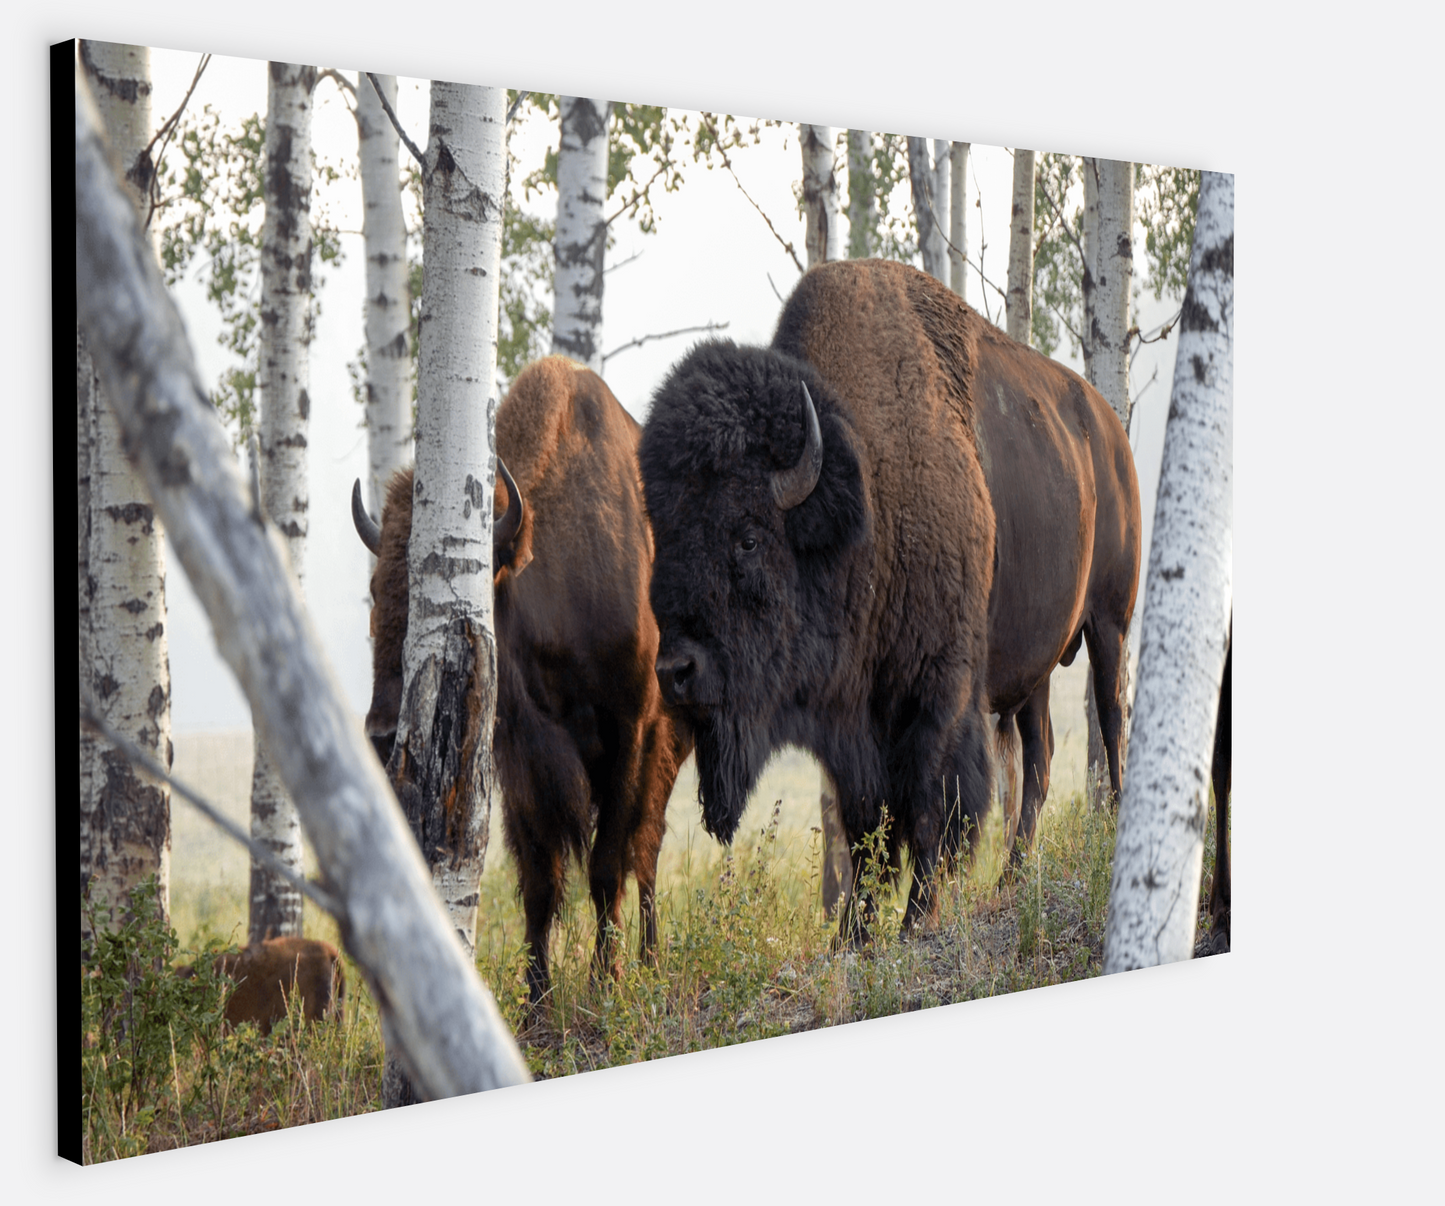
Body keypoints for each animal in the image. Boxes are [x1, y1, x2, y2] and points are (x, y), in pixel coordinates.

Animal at [351, 358, 687, 1011]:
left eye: (467, 596)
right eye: (376, 591)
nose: (380, 734)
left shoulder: (629, 731)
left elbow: (607, 864)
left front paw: (605, 983)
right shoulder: (520, 761)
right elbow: (539, 879)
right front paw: (536, 1003)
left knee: (646, 850)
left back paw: (651, 961)